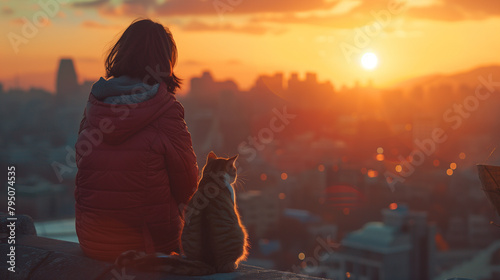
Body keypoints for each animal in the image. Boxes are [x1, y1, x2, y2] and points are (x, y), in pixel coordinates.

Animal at [114, 151, 249, 276]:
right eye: (234, 170)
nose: (237, 175)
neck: (212, 178)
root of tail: (208, 263)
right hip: (241, 232)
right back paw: (234, 265)